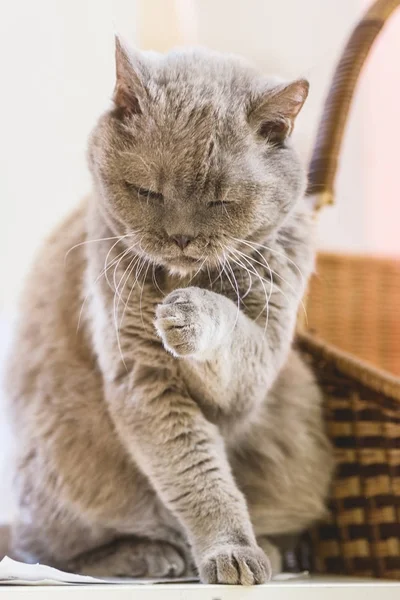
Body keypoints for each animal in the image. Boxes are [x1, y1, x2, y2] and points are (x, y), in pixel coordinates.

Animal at [6, 42, 332, 584]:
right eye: (147, 191)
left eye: (222, 200)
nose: (181, 237)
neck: (186, 277)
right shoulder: (143, 376)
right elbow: (197, 476)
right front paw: (229, 553)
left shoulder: (261, 357)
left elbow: (228, 331)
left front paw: (187, 313)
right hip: (60, 445)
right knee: (49, 551)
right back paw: (150, 554)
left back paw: (265, 547)